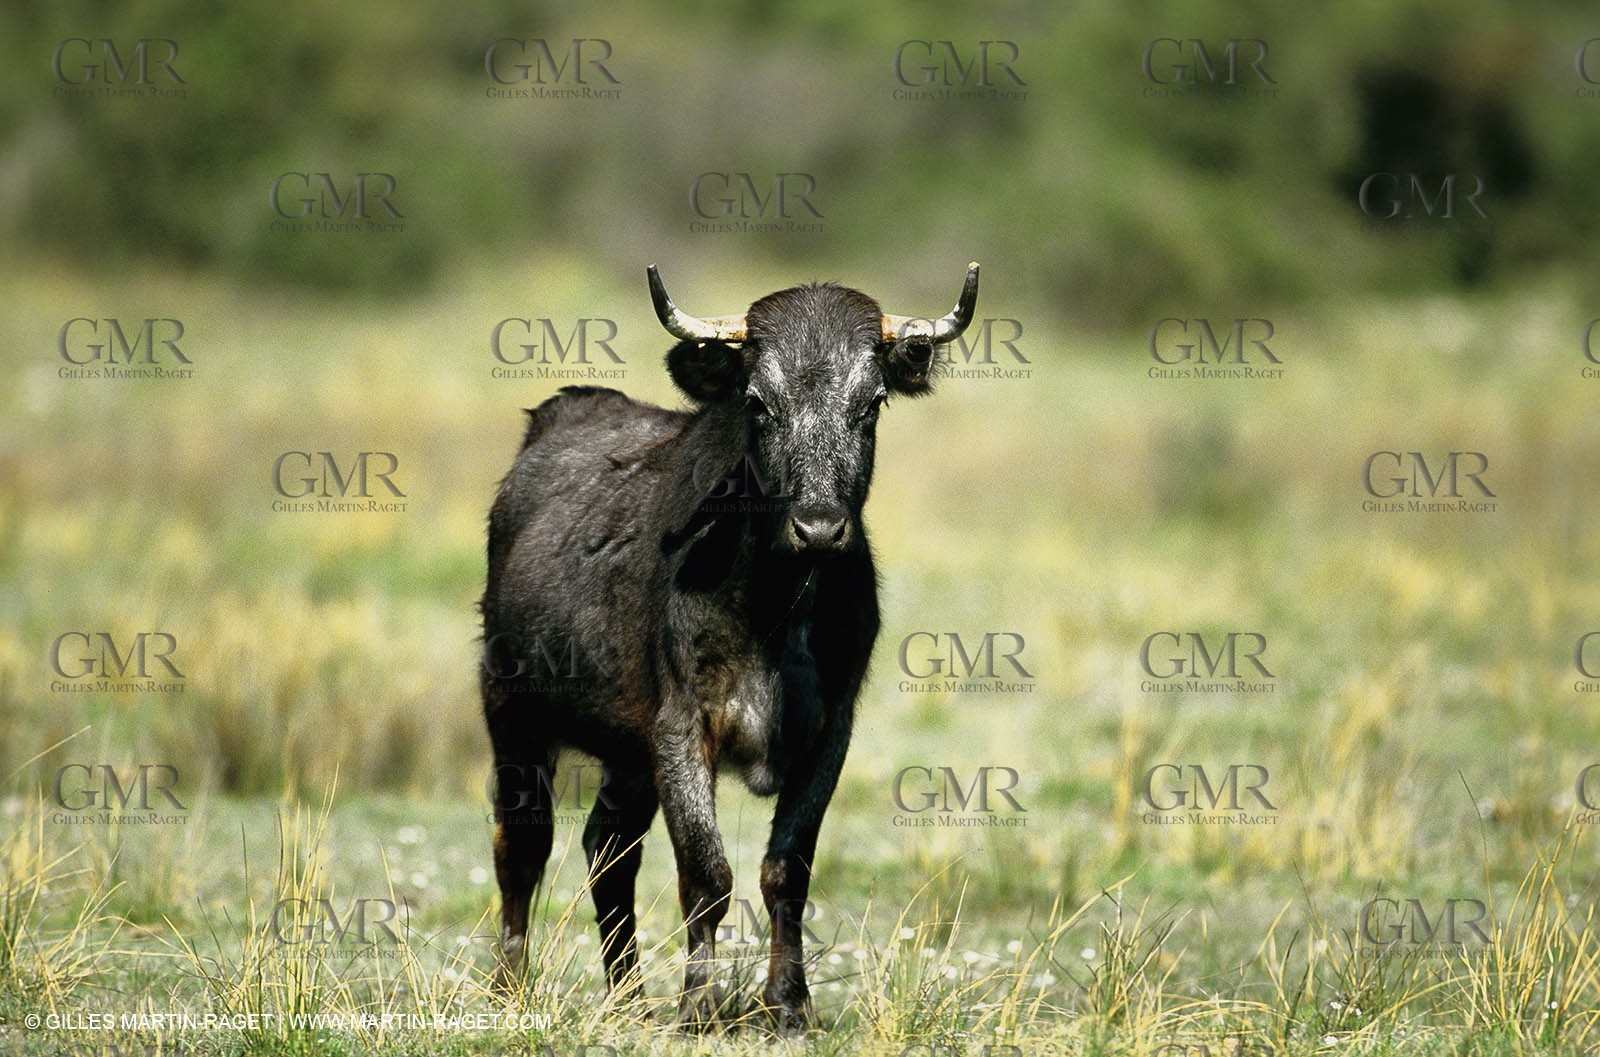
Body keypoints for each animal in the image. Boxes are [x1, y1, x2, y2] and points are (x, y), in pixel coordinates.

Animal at [480, 262, 980, 1031]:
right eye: (757, 401)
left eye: (871, 403)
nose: (819, 526)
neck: (779, 605)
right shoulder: (682, 724)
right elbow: (706, 873)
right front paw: (698, 1007)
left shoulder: (829, 730)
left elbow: (787, 869)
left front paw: (790, 1005)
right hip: (512, 710)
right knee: (524, 844)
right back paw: (511, 987)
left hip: (626, 752)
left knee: (608, 848)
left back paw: (627, 995)